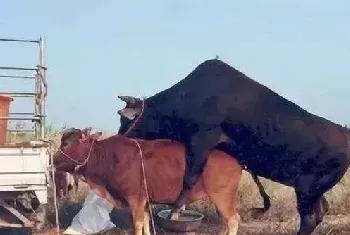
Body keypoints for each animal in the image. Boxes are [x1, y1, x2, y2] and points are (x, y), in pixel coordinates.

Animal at [52, 129, 243, 235]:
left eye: (66, 143)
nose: (52, 159)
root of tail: (235, 160)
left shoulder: (135, 198)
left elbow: (137, 225)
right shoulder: (144, 200)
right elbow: (145, 222)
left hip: (222, 196)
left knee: (233, 220)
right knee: (226, 222)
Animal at [118, 59, 350, 235]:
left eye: (123, 119)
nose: (119, 138)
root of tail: (344, 133)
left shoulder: (203, 139)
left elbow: (190, 177)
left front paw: (176, 209)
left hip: (307, 189)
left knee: (310, 217)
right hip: (312, 189)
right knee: (321, 211)